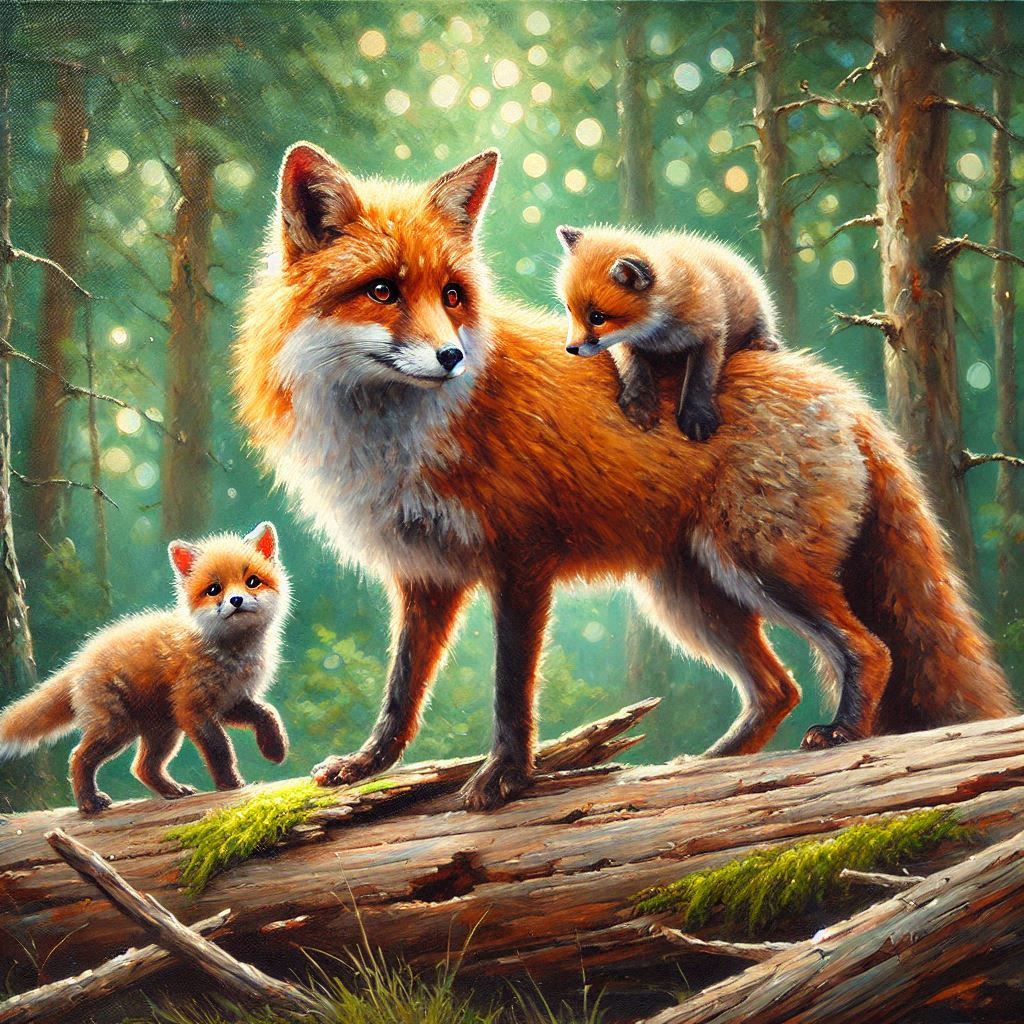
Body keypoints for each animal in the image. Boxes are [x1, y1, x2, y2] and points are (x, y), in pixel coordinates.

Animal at [0, 523, 290, 813]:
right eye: (214, 589)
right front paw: (230, 784)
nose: (236, 600)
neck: (233, 655)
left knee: (142, 767)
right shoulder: (193, 707)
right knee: (78, 756)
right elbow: (220, 749)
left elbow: (267, 713)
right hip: (118, 728)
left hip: (162, 731)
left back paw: (172, 790)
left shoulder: (231, 700)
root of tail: (80, 659)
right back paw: (89, 802)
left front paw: (275, 749)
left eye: (252, 581)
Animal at [556, 224, 780, 439]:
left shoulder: (710, 332)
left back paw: (763, 342)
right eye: (569, 309)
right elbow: (633, 370)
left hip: (758, 306)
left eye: (597, 318)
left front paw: (697, 417)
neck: (659, 336)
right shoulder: (624, 342)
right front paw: (640, 406)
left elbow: (700, 379)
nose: (571, 349)